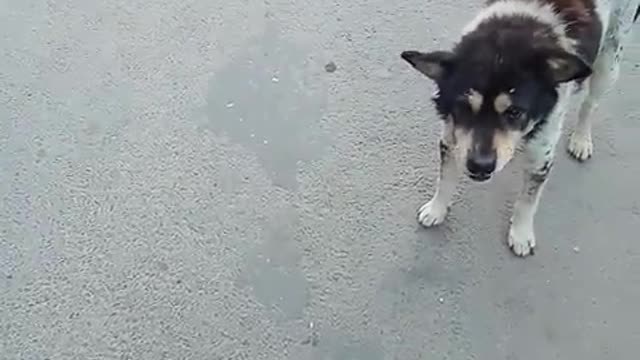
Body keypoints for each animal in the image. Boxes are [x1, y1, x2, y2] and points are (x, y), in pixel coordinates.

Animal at [402, 1, 636, 258]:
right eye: (463, 107)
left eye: (515, 112)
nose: (481, 166)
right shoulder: (452, 138)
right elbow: (445, 179)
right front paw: (437, 209)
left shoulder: (542, 154)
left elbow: (527, 201)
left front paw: (521, 234)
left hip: (609, 62)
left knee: (590, 103)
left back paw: (581, 139)